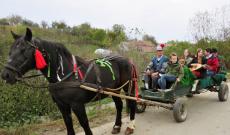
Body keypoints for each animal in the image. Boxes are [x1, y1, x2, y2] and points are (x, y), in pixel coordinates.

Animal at [0, 28, 137, 134]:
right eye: (10, 50)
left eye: (24, 50)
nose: (6, 75)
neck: (65, 75)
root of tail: (127, 59)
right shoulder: (62, 105)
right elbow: (68, 124)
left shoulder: (77, 105)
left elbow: (85, 124)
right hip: (114, 90)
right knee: (119, 105)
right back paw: (117, 126)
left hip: (128, 87)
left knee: (132, 103)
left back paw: (130, 127)